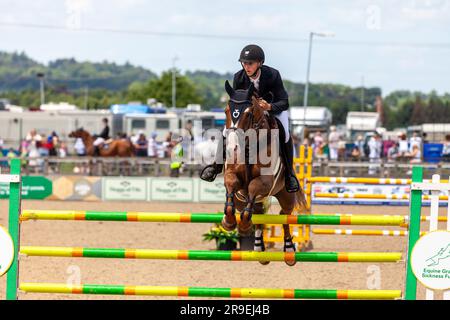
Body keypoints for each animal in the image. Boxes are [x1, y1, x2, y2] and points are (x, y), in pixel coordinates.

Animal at [221, 81, 306, 266]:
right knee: (257, 213)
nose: (232, 148)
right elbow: (231, 188)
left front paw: (243, 226)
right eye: (226, 111)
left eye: (248, 113)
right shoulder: (233, 178)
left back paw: (289, 250)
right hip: (243, 200)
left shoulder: (265, 182)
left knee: (284, 216)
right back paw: (260, 249)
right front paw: (229, 223)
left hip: (286, 196)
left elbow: (253, 187)